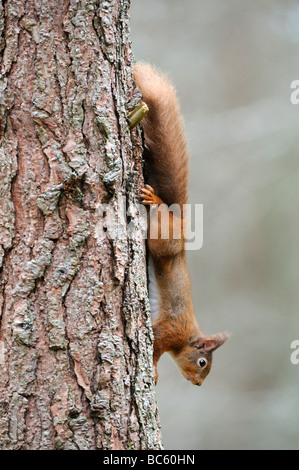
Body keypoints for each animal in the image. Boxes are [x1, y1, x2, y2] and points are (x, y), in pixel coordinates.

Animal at [134, 62, 230, 386]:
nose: (198, 384)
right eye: (202, 362)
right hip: (165, 242)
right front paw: (152, 370)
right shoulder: (170, 329)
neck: (189, 336)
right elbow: (155, 347)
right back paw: (155, 200)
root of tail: (180, 221)